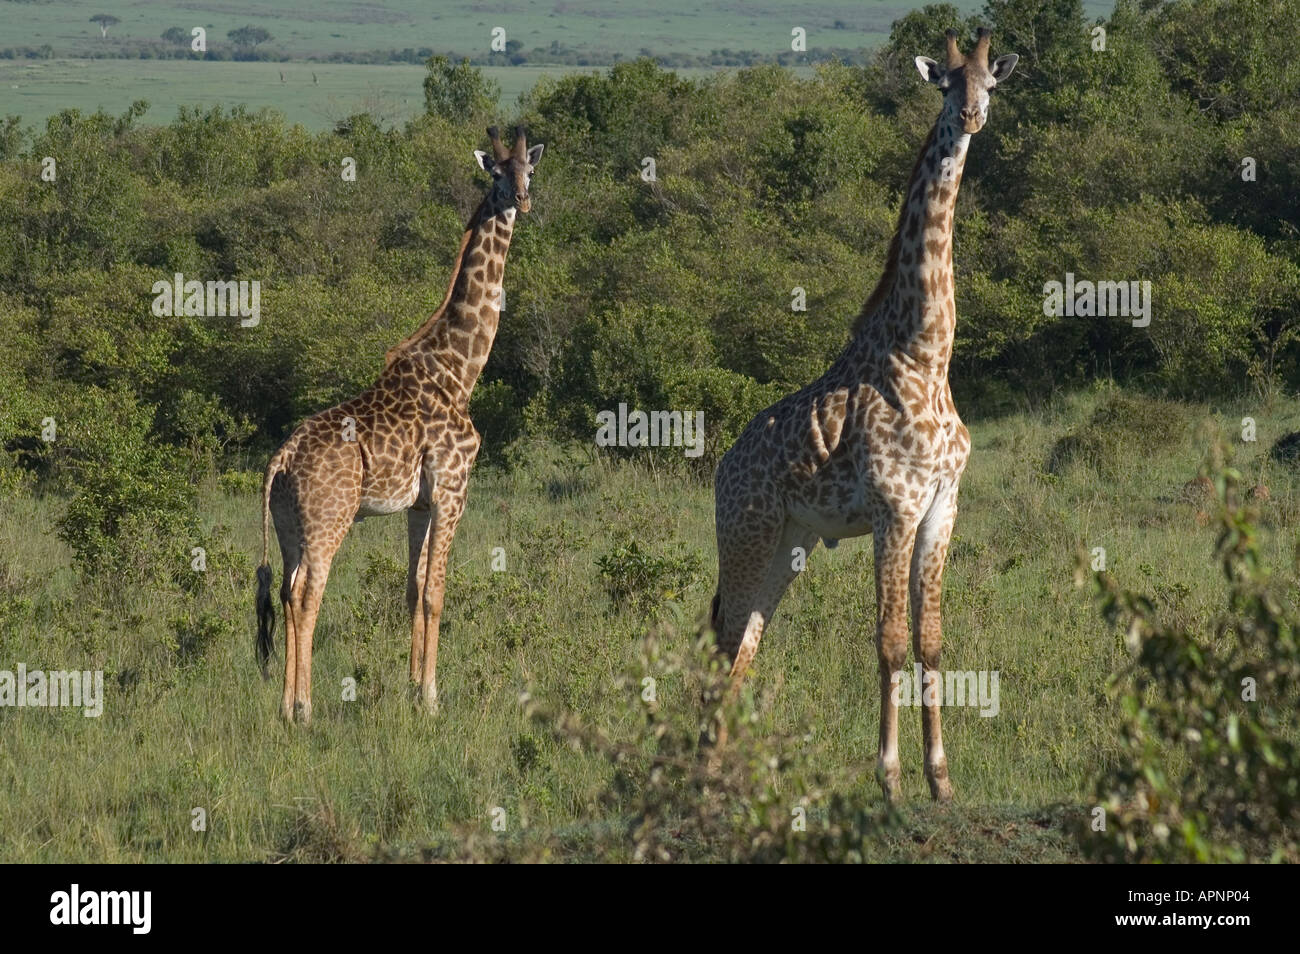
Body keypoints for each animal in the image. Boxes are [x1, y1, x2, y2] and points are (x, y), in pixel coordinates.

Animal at [255, 126, 544, 724]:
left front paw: (412, 690)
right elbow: (436, 592)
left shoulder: (419, 502)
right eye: (495, 175)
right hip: (330, 518)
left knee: (286, 592)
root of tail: (281, 459)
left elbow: (413, 590)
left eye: (530, 170)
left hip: (289, 524)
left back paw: (286, 707)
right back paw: (306, 708)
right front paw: (432, 697)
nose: (521, 201)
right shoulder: (455, 487)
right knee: (308, 592)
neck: (459, 369)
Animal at [706, 30, 1017, 801]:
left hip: (789, 544)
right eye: (946, 84)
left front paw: (941, 780)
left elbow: (931, 640)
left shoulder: (942, 506)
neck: (925, 354)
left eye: (991, 84)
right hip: (747, 532)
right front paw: (889, 778)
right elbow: (888, 642)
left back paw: (719, 772)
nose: (970, 117)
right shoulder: (893, 508)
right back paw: (703, 772)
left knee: (745, 639)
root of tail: (721, 469)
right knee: (725, 639)